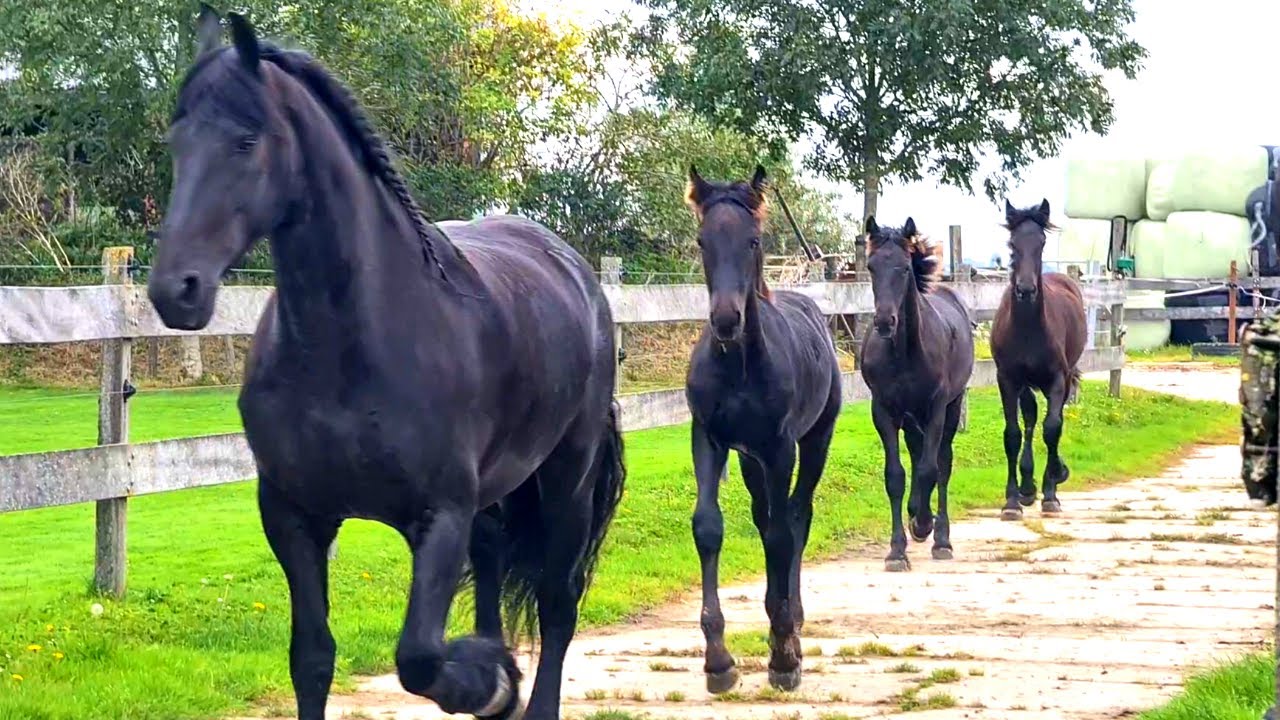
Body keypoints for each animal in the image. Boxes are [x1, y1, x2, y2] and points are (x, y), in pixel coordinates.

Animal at [146, 8, 625, 720]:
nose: (176, 289)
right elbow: (313, 658)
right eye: (177, 143)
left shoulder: (440, 518)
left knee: (557, 602)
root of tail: (574, 269)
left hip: (567, 476)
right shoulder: (293, 516)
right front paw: (490, 672)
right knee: (494, 563)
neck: (353, 352)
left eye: (245, 141)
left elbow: (419, 658)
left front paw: (484, 680)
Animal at [683, 165, 842, 695]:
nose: (725, 319)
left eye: (753, 240)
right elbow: (709, 527)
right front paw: (718, 660)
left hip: (814, 442)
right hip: (749, 459)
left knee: (796, 516)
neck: (739, 367)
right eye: (702, 240)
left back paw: (792, 621)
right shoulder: (708, 438)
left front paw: (784, 655)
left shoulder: (780, 448)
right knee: (764, 514)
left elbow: (780, 535)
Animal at [859, 217, 974, 572]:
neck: (904, 353)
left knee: (942, 463)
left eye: (904, 268)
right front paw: (897, 550)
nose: (885, 321)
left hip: (950, 410)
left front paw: (925, 525)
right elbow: (895, 475)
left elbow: (929, 470)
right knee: (915, 452)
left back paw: (940, 537)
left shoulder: (935, 408)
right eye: (871, 266)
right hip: (910, 419)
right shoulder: (883, 412)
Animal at [990, 199, 1086, 520]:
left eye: (1042, 242)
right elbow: (1013, 434)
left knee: (1049, 421)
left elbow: (1053, 428)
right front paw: (1012, 501)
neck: (1028, 329)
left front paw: (1052, 489)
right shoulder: (1008, 380)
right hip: (1025, 385)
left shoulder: (1057, 379)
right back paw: (1027, 488)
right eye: (1012, 243)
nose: (1026, 289)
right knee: (1030, 419)